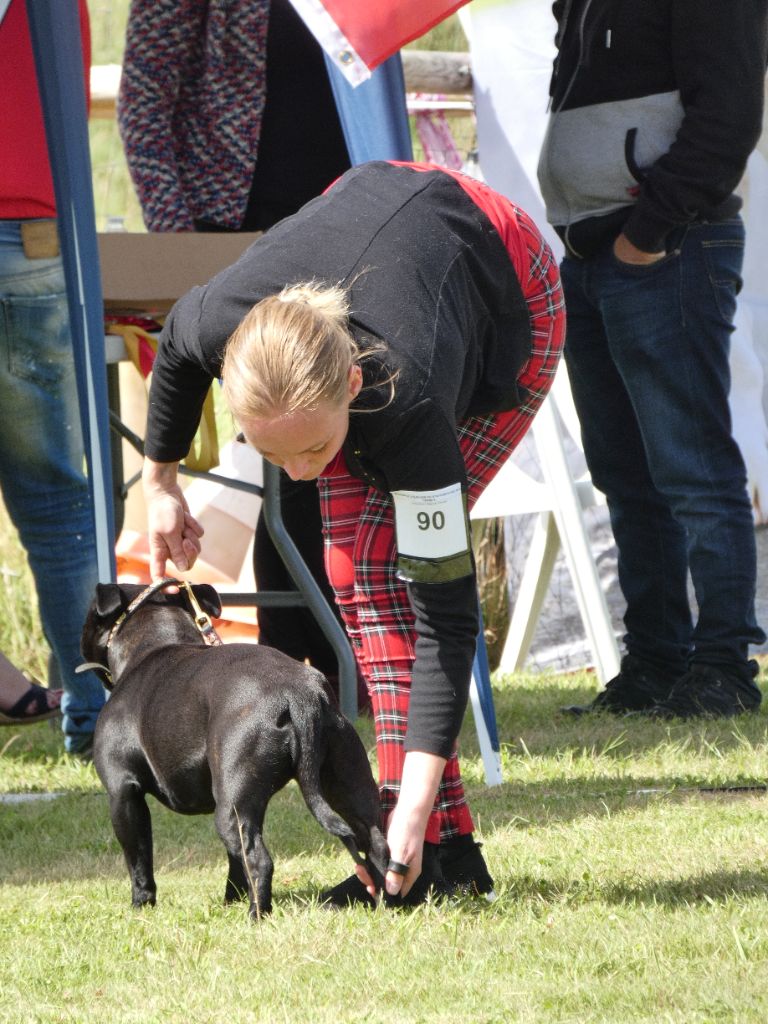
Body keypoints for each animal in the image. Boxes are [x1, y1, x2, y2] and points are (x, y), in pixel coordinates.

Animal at [81, 577, 387, 921]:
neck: (155, 643)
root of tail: (301, 694)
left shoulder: (123, 793)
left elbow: (139, 860)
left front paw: (141, 905)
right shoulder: (246, 805)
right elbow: (234, 861)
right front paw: (232, 898)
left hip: (229, 807)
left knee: (260, 860)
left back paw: (256, 916)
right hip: (343, 783)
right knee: (376, 843)